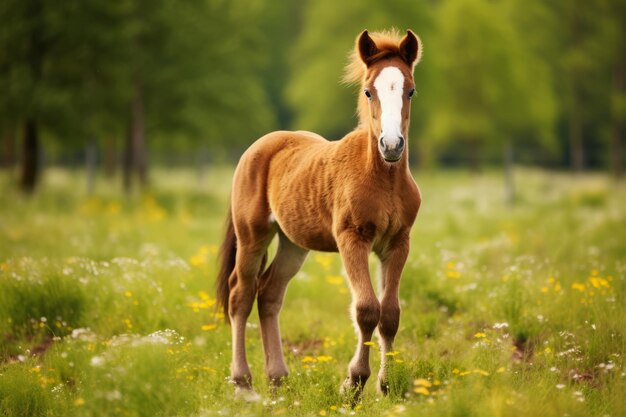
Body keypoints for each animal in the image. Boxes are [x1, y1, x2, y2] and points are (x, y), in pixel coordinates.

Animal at [216, 29, 424, 400]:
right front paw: (353, 383)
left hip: (293, 244)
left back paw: (278, 378)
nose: (391, 145)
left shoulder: (398, 243)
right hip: (252, 234)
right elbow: (366, 309)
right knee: (241, 292)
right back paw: (244, 384)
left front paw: (386, 386)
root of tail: (260, 145)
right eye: (368, 90)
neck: (382, 178)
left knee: (269, 292)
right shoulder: (352, 238)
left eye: (410, 90)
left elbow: (390, 314)